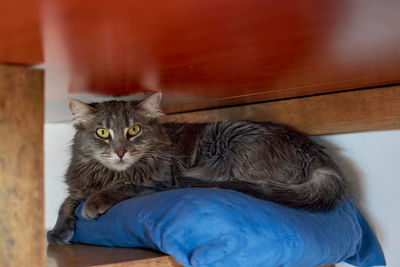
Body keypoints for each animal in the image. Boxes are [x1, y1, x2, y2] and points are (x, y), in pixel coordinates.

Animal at [47, 93, 346, 246]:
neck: (108, 173)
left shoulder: (158, 181)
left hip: (225, 147)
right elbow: (65, 202)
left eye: (134, 130)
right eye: (102, 133)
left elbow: (122, 186)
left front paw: (92, 204)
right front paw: (58, 231)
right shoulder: (78, 184)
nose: (120, 152)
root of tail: (319, 157)